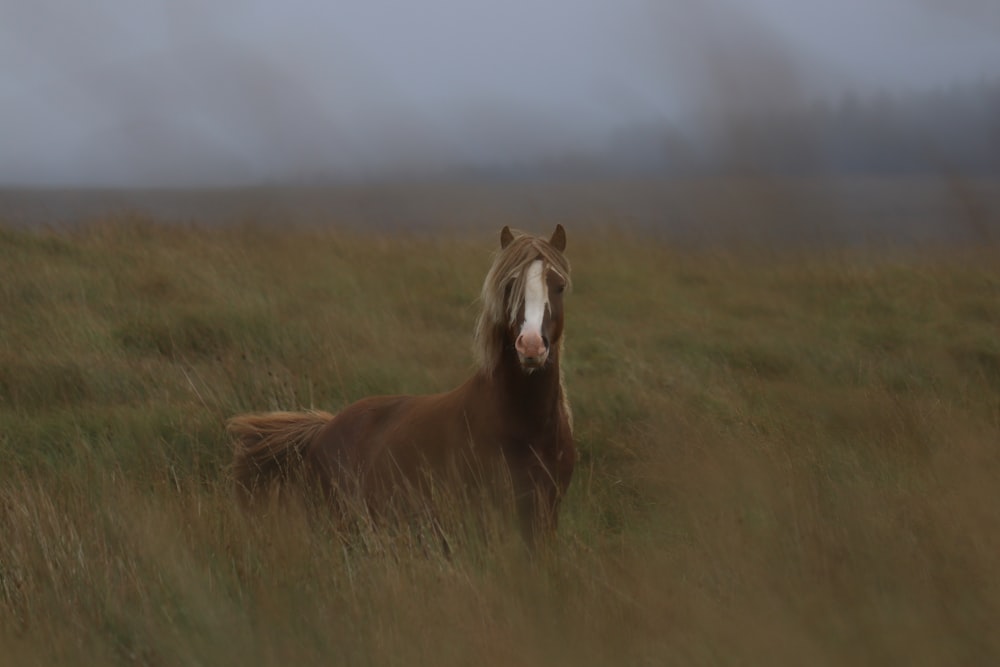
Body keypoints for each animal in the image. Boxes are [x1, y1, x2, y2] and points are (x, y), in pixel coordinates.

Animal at [225, 226, 572, 548]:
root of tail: (323, 429)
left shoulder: (544, 517)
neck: (521, 427)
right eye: (509, 286)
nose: (531, 346)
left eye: (559, 286)